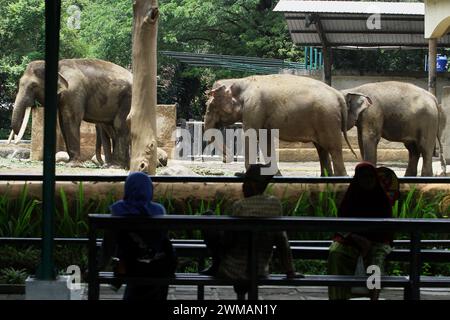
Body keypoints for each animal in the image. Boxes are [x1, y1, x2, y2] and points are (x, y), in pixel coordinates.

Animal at [204, 74, 356, 176]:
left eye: (210, 107)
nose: (226, 158)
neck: (239, 81)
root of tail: (339, 96)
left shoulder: (254, 107)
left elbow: (251, 136)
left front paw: (245, 174)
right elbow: (265, 141)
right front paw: (276, 175)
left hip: (327, 119)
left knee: (333, 147)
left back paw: (340, 178)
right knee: (322, 149)